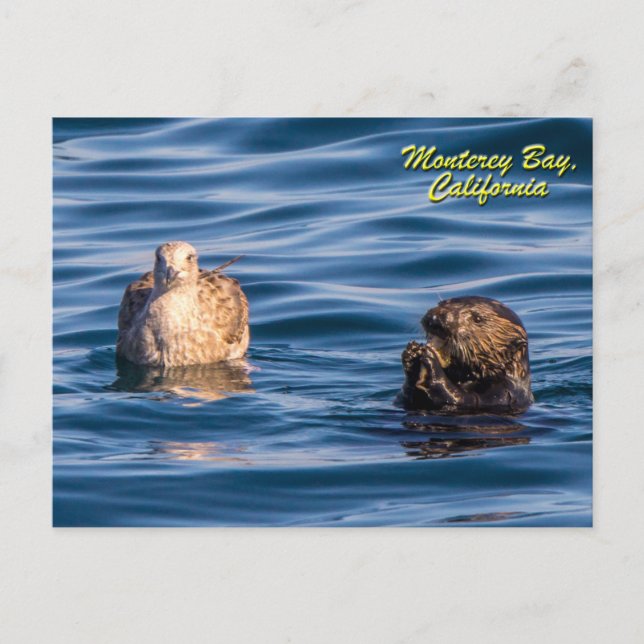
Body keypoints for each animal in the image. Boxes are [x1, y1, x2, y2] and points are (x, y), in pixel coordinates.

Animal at [399, 296, 533, 414]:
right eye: (442, 303)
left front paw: (430, 360)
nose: (435, 318)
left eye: (478, 319)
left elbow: (465, 399)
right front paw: (412, 353)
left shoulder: (503, 393)